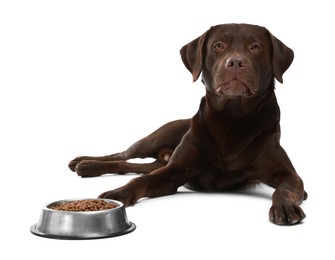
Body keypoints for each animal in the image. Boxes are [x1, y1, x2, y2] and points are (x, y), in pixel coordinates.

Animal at [69, 23, 308, 224]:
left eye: (255, 47)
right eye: (218, 46)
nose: (235, 62)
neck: (231, 118)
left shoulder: (289, 175)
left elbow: (284, 189)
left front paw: (285, 207)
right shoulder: (174, 171)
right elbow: (139, 182)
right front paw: (118, 193)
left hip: (158, 159)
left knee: (134, 166)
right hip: (154, 139)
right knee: (123, 155)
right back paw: (85, 163)